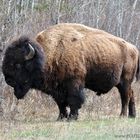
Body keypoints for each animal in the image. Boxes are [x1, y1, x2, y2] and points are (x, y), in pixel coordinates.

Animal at [1, 23, 139, 120]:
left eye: (18, 64)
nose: (8, 80)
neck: (49, 53)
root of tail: (134, 48)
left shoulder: (74, 83)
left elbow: (74, 100)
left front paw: (72, 117)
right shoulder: (56, 88)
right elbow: (60, 103)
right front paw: (60, 118)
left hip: (124, 81)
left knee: (125, 97)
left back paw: (122, 115)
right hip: (124, 83)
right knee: (131, 94)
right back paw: (132, 115)